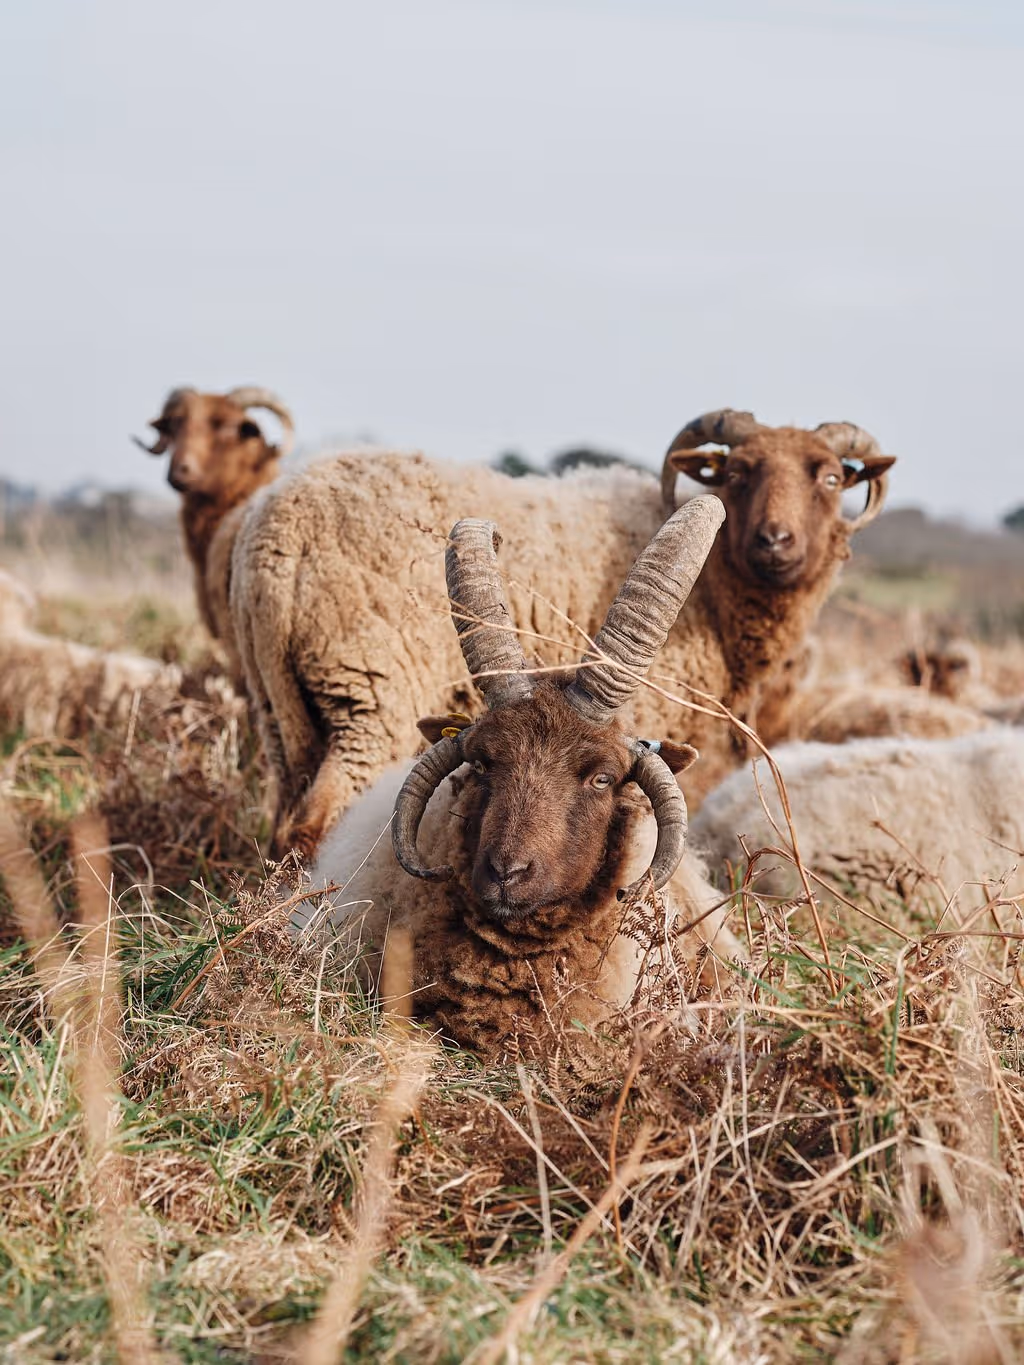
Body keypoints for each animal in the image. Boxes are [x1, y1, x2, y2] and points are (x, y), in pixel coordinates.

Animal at [231, 409, 895, 856]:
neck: (722, 591)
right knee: (317, 819)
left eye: (830, 478)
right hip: (369, 696)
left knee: (285, 818)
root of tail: (281, 530)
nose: (775, 542)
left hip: (279, 709)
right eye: (736, 472)